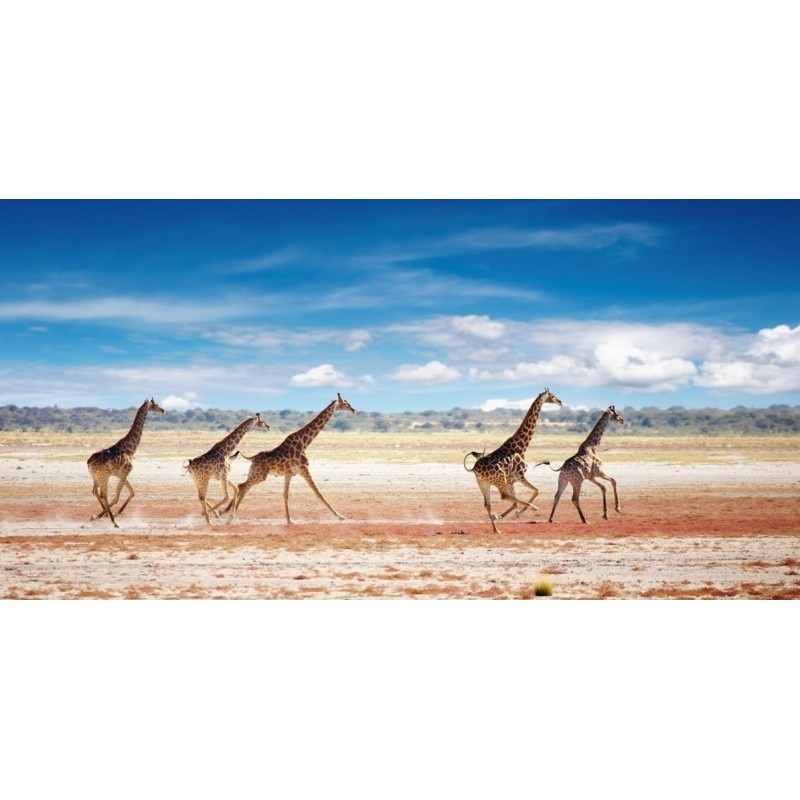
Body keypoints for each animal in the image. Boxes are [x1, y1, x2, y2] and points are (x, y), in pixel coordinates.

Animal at [86, 397, 165, 528]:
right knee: (103, 495)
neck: (130, 450)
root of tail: (88, 462)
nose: (163, 410)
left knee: (95, 491)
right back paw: (113, 521)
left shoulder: (121, 474)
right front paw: (111, 515)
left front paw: (111, 514)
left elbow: (132, 492)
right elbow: (117, 497)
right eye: (156, 404)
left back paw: (103, 515)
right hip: (104, 476)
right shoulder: (125, 472)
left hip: (96, 477)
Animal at [224, 393, 357, 523]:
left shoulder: (289, 473)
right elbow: (318, 492)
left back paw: (227, 513)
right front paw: (340, 516)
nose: (354, 410)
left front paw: (289, 520)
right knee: (242, 486)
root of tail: (252, 458)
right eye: (345, 403)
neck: (304, 442)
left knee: (244, 487)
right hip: (260, 475)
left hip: (254, 473)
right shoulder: (304, 469)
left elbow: (285, 494)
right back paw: (229, 515)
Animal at [464, 388, 562, 533]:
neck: (521, 447)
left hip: (484, 484)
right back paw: (532, 507)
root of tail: (475, 469)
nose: (560, 402)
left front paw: (502, 516)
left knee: (488, 504)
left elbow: (519, 500)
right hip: (500, 480)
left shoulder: (512, 480)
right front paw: (519, 513)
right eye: (553, 396)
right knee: (504, 496)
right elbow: (535, 491)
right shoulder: (519, 476)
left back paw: (496, 529)